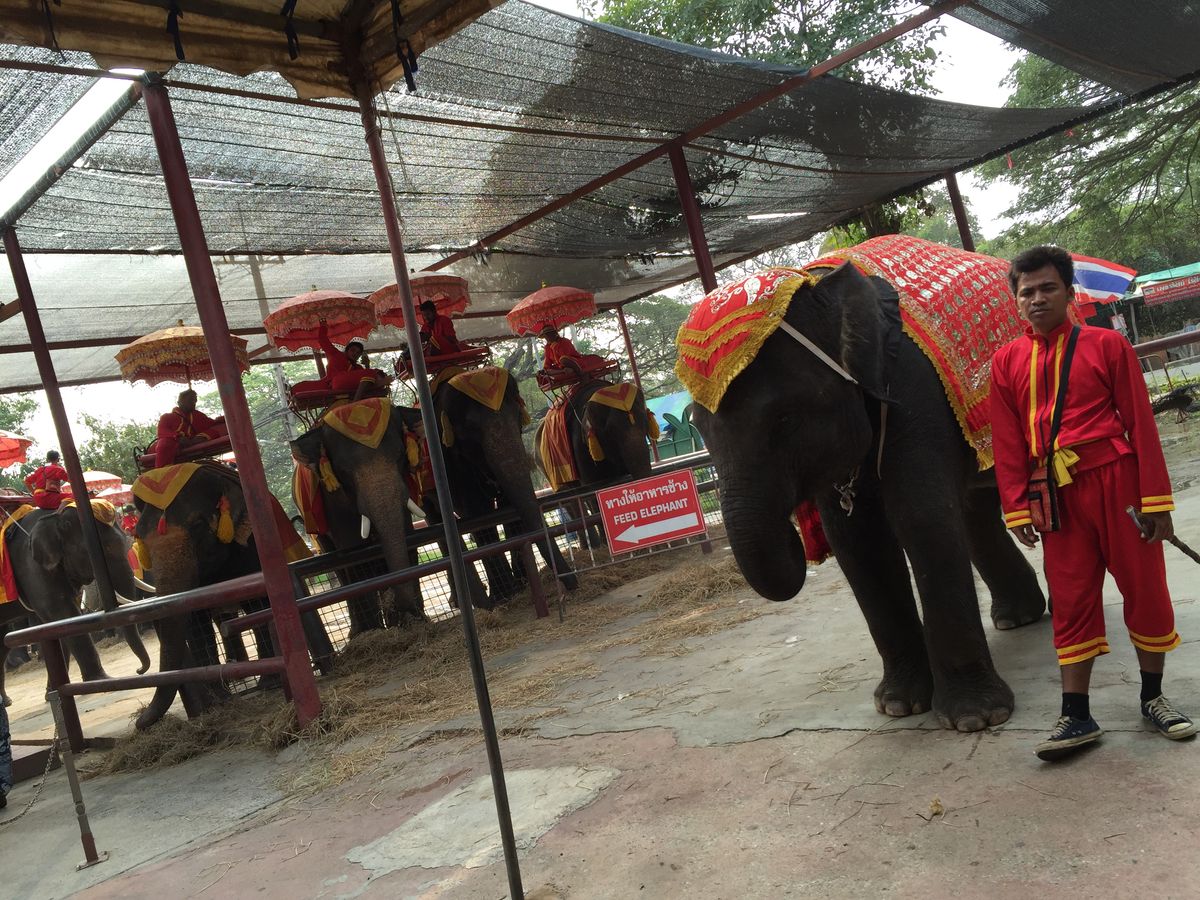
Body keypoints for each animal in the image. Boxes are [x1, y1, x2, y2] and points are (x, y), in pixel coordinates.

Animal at [1, 504, 152, 706]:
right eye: (102, 550)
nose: (138, 671)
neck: (54, 516)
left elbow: (54, 624)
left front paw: (52, 693)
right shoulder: (31, 567)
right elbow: (62, 614)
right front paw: (102, 681)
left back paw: (6, 701)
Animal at [690, 262, 1047, 733]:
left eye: (784, 421)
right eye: (699, 430)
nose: (795, 535)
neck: (818, 286)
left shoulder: (914, 390)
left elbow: (921, 515)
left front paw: (975, 718)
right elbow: (855, 538)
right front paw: (899, 705)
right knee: (973, 513)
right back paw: (1015, 618)